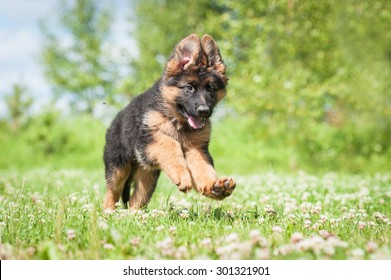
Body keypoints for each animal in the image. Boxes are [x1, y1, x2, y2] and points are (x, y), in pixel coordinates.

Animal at [102, 34, 236, 210]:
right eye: (189, 88)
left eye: (211, 89)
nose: (204, 111)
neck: (177, 120)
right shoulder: (147, 141)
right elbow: (171, 143)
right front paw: (181, 174)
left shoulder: (196, 148)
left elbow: (203, 167)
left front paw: (214, 186)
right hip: (119, 168)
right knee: (112, 192)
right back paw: (108, 212)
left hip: (148, 175)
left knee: (136, 200)